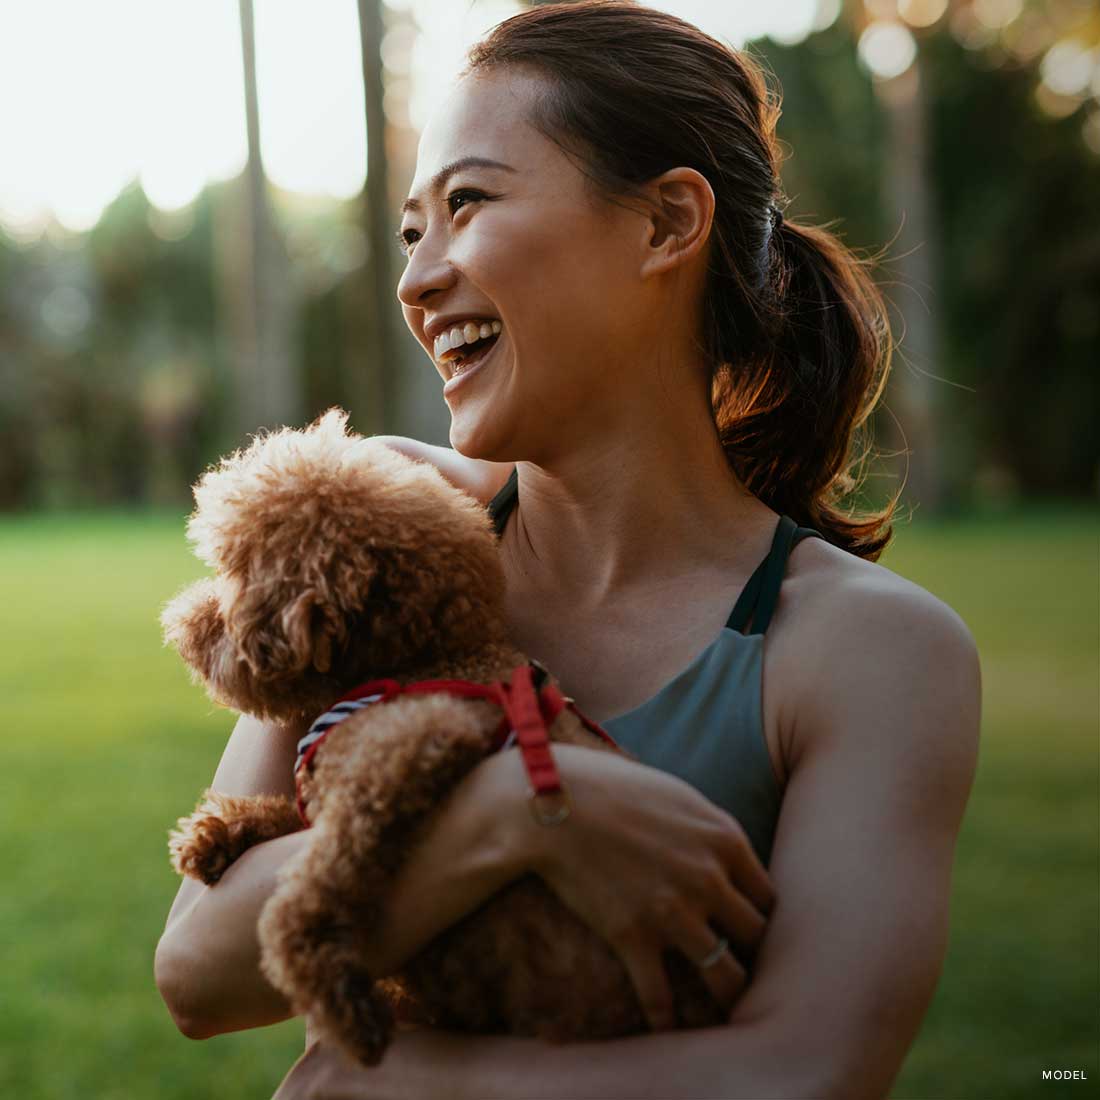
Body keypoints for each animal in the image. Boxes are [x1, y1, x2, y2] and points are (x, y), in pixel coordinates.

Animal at [162, 407, 726, 1064]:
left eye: (234, 577)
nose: (181, 621)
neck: (421, 663)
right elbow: (294, 820)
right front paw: (217, 834)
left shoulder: (407, 753)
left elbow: (316, 883)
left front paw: (335, 996)